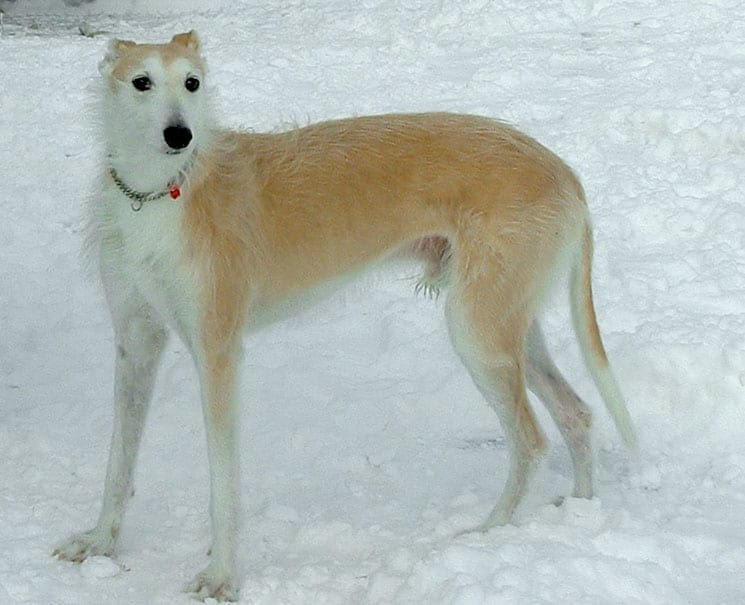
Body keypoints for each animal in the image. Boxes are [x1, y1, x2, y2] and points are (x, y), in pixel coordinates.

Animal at [52, 31, 636, 600]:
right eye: (141, 82)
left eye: (192, 82)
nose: (181, 135)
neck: (159, 191)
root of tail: (564, 173)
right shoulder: (136, 341)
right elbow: (118, 460)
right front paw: (100, 543)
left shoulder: (218, 353)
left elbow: (223, 481)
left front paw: (221, 578)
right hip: (510, 326)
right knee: (576, 413)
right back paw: (581, 510)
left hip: (478, 332)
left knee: (532, 442)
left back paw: (488, 534)